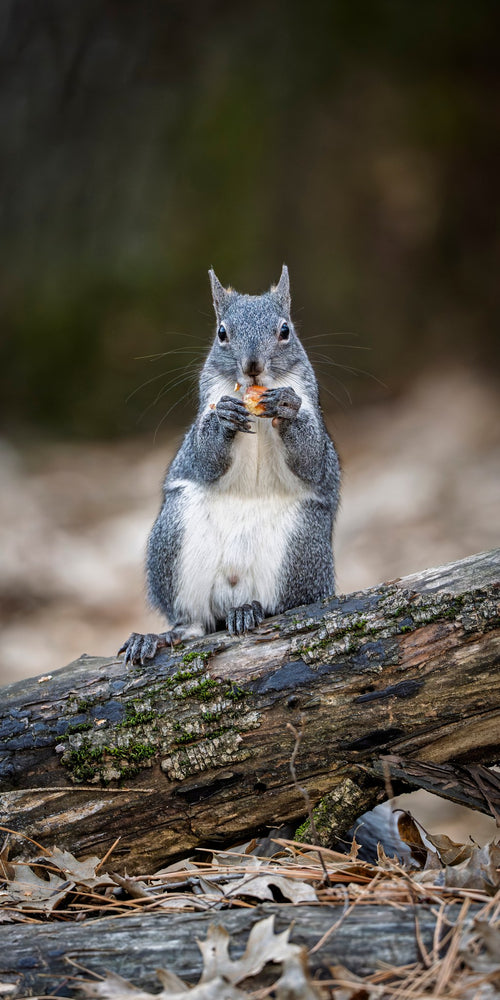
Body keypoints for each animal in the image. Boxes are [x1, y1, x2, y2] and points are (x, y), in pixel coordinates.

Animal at [119, 265, 341, 664]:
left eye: (285, 330)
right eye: (222, 333)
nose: (252, 366)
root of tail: (231, 599)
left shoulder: (316, 432)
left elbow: (312, 458)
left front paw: (287, 407)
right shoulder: (202, 425)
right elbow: (204, 455)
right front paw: (223, 419)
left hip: (301, 550)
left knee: (286, 606)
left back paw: (253, 610)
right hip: (176, 540)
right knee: (192, 623)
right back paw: (158, 638)